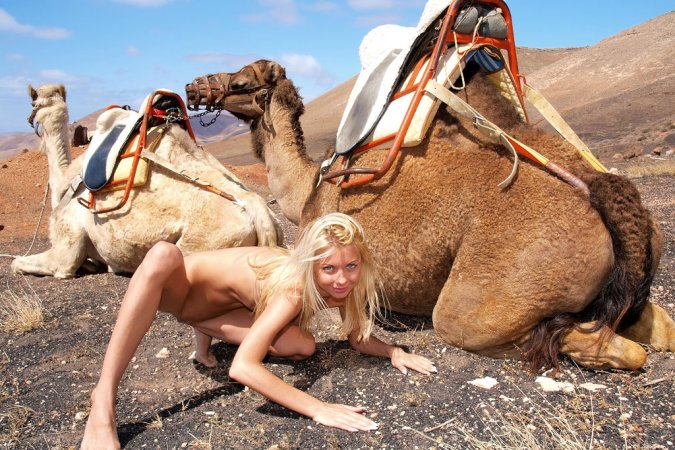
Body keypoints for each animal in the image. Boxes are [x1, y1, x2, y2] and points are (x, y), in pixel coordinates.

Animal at [10, 83, 280, 279]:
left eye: (33, 102)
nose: (30, 117)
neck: (65, 183)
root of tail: (261, 213)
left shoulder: (65, 252)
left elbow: (21, 264)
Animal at [185, 59, 675, 371]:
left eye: (242, 82)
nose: (193, 88)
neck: (309, 185)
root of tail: (595, 186)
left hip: (491, 290)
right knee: (653, 326)